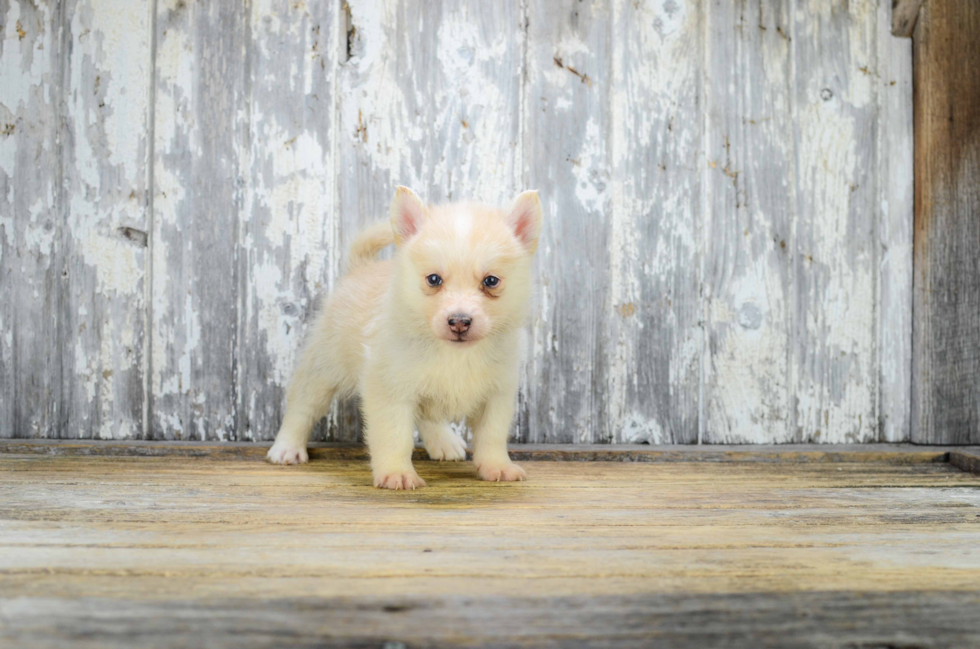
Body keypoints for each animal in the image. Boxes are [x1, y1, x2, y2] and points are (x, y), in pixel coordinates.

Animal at [266, 185, 544, 488]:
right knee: (302, 407)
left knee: (428, 415)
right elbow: (394, 436)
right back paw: (286, 448)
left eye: (491, 281)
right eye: (433, 279)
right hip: (323, 369)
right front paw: (396, 473)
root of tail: (360, 268)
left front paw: (498, 466)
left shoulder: (497, 394)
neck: (455, 355)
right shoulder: (390, 390)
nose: (459, 322)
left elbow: (492, 436)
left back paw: (444, 441)